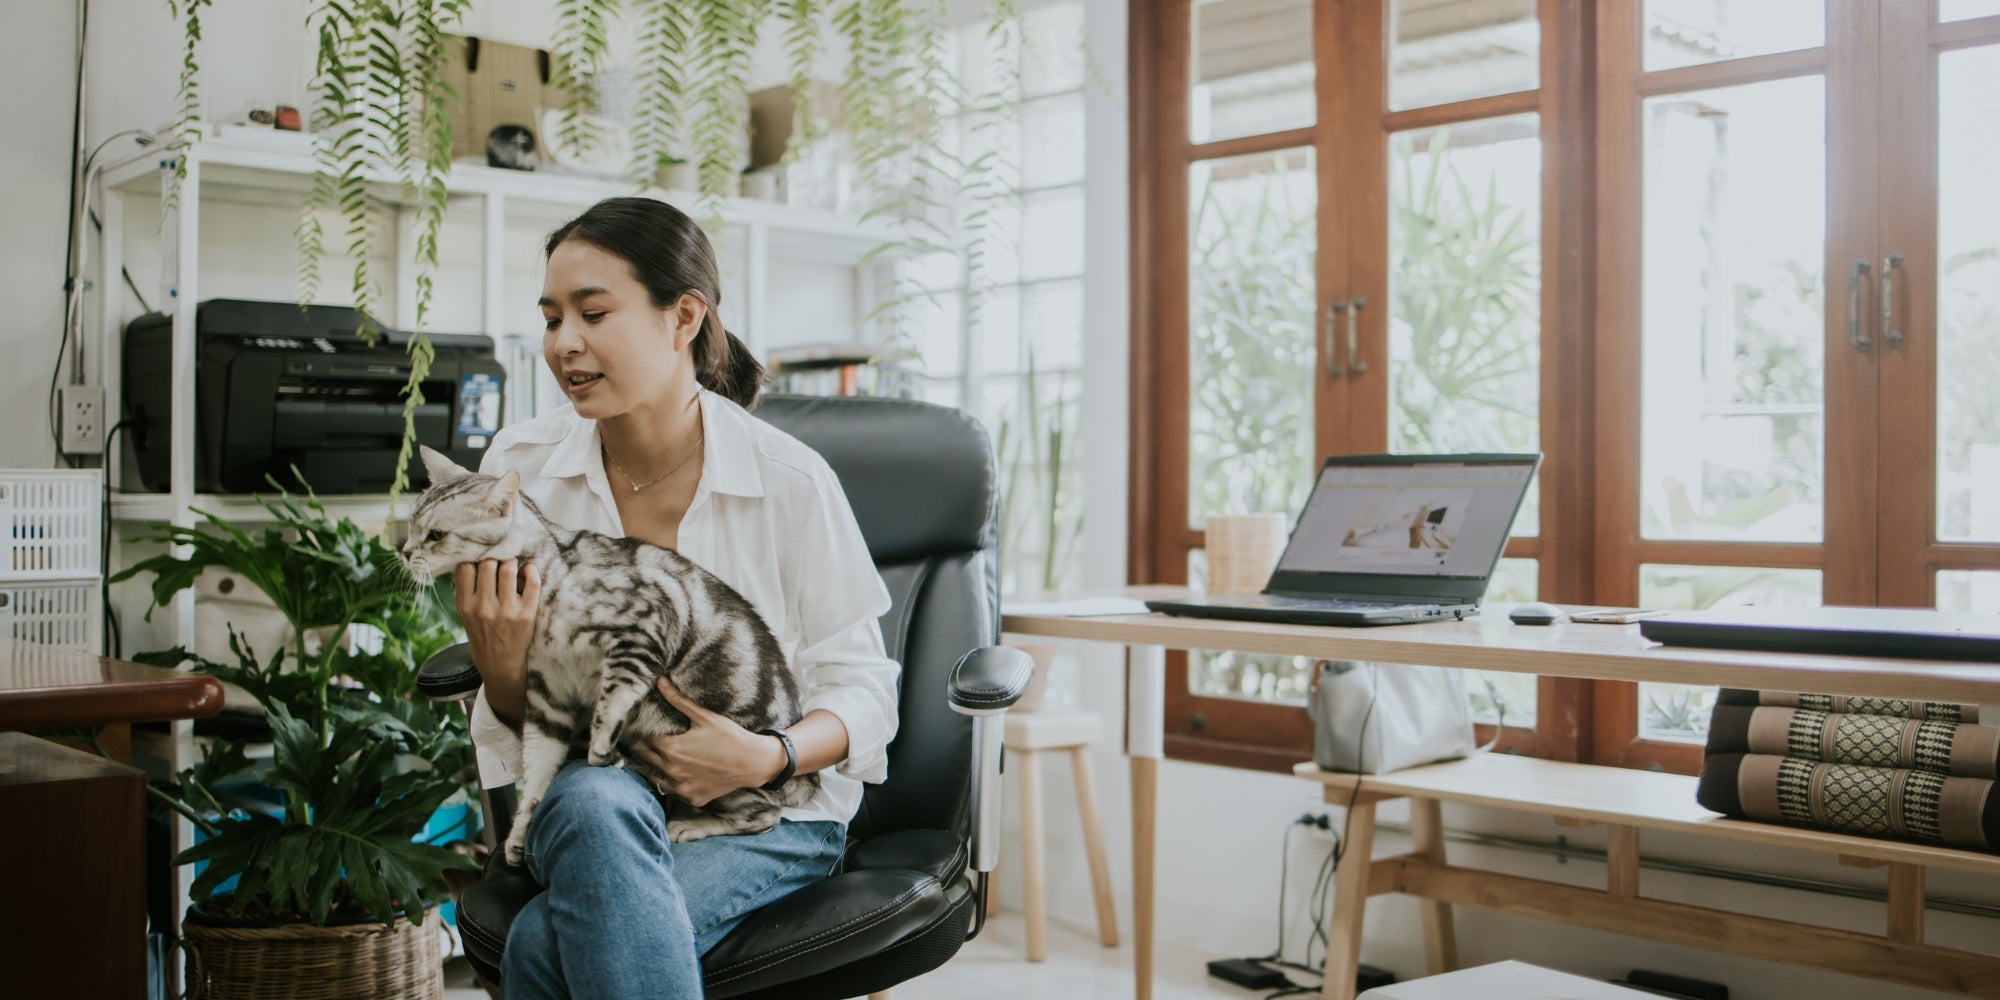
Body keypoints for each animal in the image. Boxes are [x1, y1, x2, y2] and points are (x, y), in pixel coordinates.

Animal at [402, 444, 816, 860]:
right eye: (411, 524)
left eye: (435, 534)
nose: (403, 552)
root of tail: (809, 783)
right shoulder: (547, 696)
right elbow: (537, 769)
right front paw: (520, 829)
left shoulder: (643, 629)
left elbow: (613, 695)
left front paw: (601, 745)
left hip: (729, 779)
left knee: (763, 817)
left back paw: (690, 825)